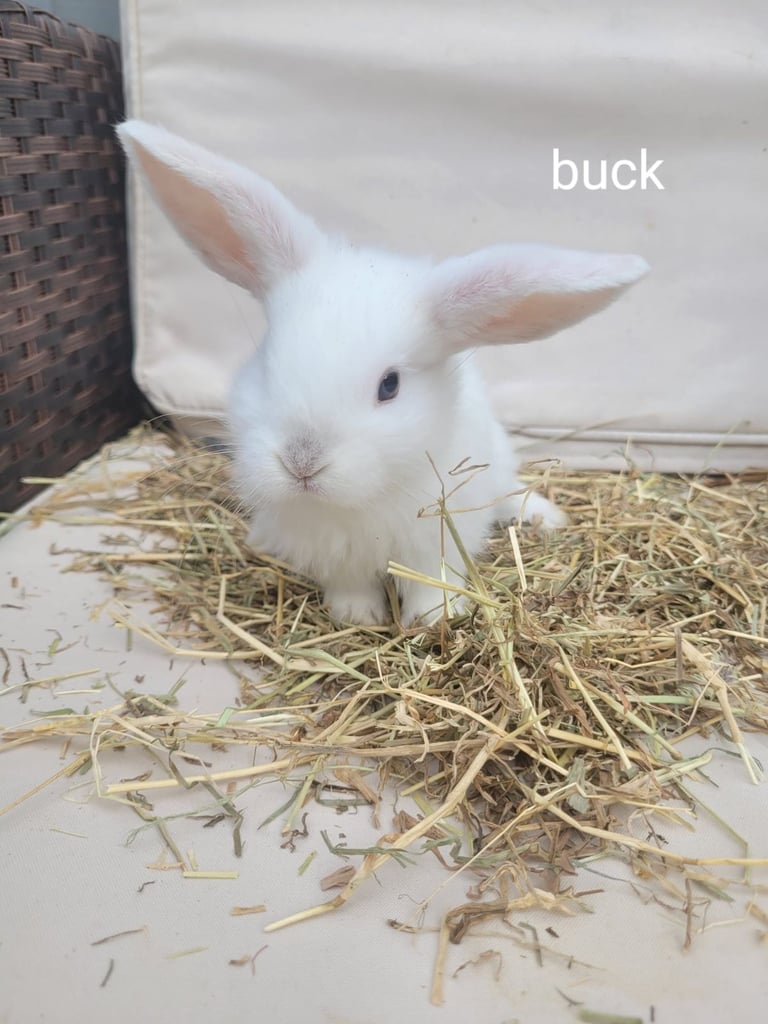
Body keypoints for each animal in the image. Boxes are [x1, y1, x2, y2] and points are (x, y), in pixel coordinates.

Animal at [117, 120, 648, 627]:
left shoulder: (435, 539)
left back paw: (544, 517)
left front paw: (435, 620)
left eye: (389, 386)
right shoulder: (334, 556)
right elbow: (349, 586)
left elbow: (433, 582)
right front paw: (356, 616)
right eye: (268, 360)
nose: (302, 463)